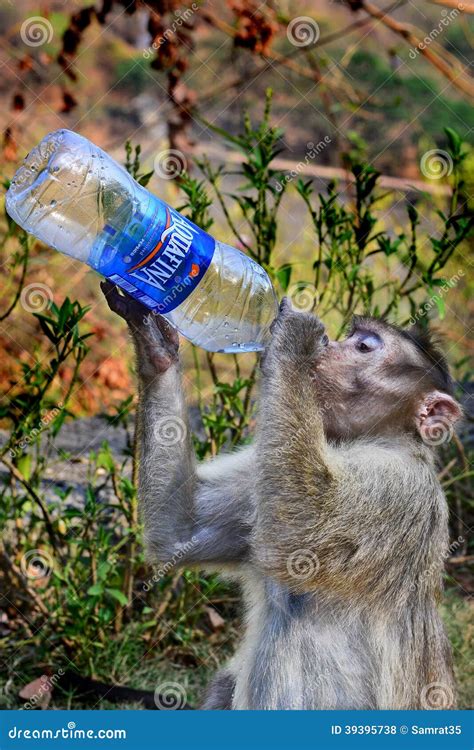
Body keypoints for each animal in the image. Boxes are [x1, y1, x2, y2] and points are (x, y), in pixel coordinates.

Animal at [102, 282, 462, 712]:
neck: (368, 439)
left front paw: (295, 337)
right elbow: (181, 530)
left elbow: (300, 533)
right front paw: (156, 341)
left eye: (364, 347)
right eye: (353, 339)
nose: (331, 344)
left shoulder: (394, 486)